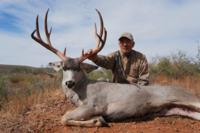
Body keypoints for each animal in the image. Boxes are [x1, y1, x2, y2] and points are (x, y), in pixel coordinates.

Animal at [30, 9, 200, 127]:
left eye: (79, 68)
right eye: (64, 68)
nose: (69, 83)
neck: (81, 91)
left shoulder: (94, 105)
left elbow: (64, 117)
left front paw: (98, 121)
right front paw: (97, 120)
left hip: (188, 99)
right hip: (180, 109)